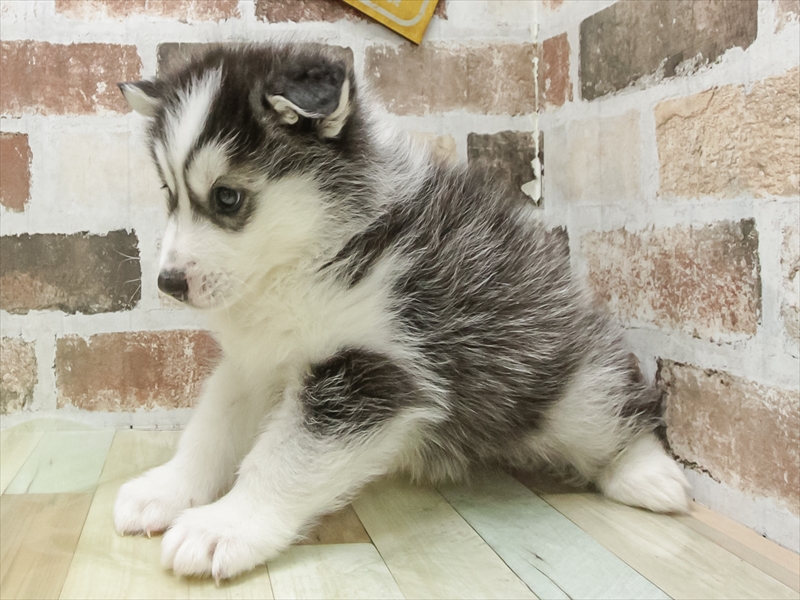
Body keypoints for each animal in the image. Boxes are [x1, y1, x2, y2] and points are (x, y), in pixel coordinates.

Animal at [114, 43, 690, 581]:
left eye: (227, 197)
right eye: (169, 193)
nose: (168, 283)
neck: (306, 260)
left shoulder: (373, 372)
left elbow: (282, 459)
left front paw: (225, 526)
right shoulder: (255, 362)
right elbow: (212, 428)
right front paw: (167, 488)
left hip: (571, 385)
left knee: (623, 412)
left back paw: (646, 474)